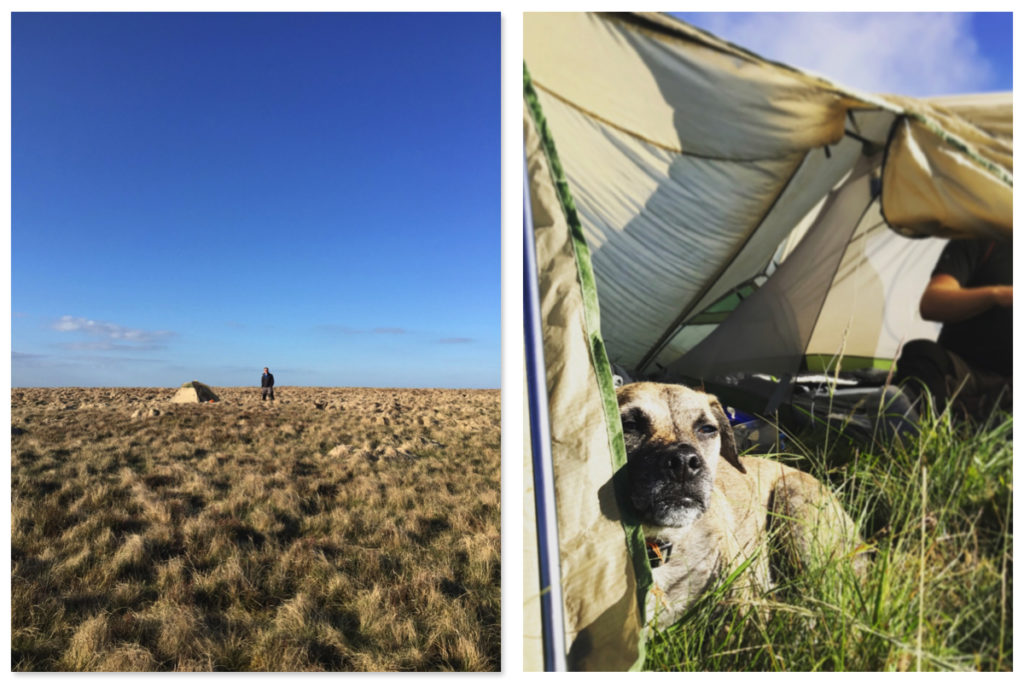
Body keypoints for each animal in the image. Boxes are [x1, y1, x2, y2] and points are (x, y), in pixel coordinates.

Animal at [618, 382, 868, 626]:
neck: (660, 542)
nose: (684, 462)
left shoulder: (745, 604)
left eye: (707, 429)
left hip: (794, 504)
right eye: (629, 425)